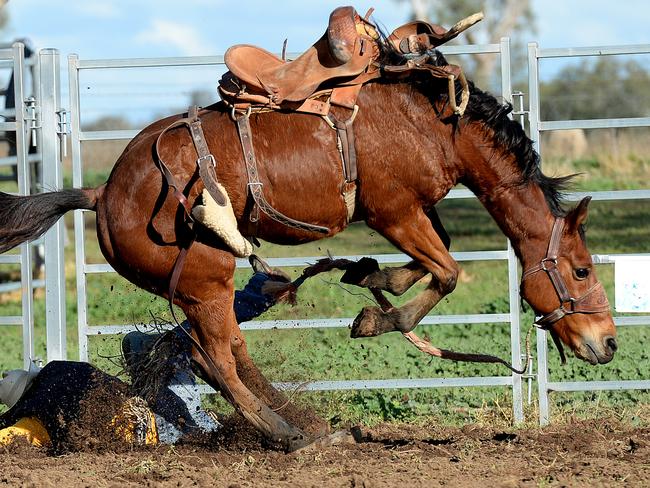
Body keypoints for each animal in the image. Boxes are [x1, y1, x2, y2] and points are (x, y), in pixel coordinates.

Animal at [0, 24, 616, 452]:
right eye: (581, 269)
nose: (607, 343)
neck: (438, 121)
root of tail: (103, 193)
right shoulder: (395, 213)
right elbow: (447, 272)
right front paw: (376, 318)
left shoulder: (415, 214)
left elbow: (426, 265)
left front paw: (369, 276)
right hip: (205, 276)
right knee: (215, 356)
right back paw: (286, 434)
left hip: (207, 285)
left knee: (220, 352)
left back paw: (309, 426)